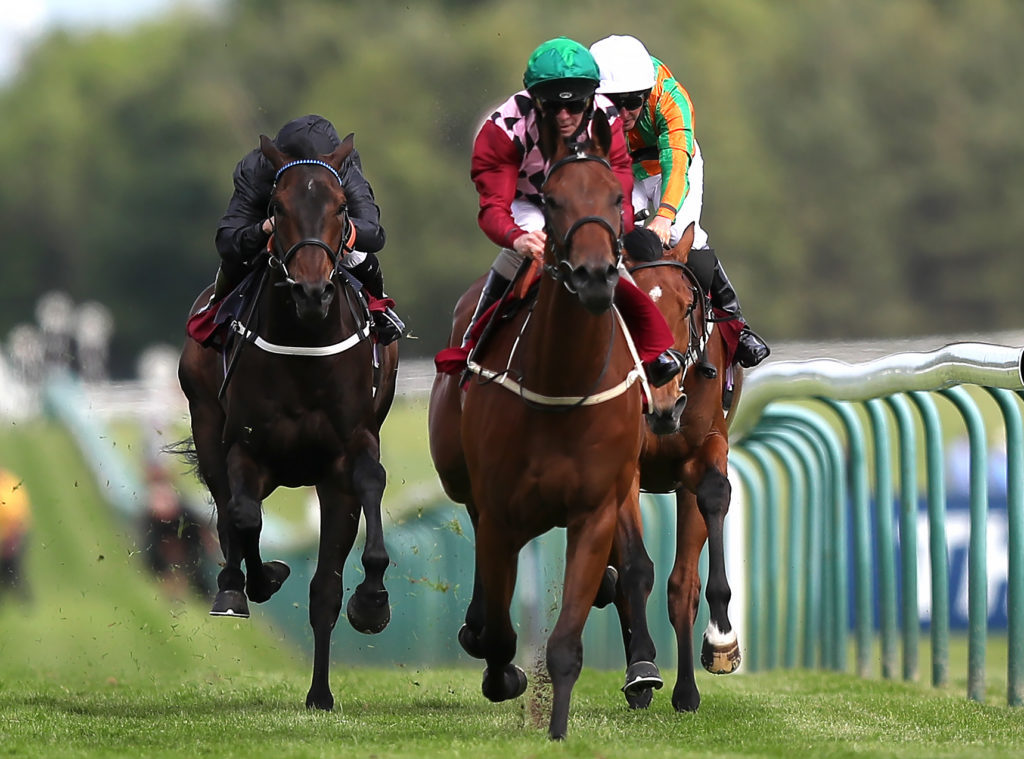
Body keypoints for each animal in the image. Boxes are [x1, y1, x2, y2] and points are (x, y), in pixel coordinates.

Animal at [177, 133, 399, 711]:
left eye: (341, 207)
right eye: (276, 208)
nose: (312, 291)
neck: (306, 344)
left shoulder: (348, 454)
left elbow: (366, 493)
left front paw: (371, 602)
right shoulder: (246, 448)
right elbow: (244, 517)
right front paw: (253, 582)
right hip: (207, 423)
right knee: (230, 512)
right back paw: (237, 584)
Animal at [428, 109, 661, 740]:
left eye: (615, 196)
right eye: (552, 201)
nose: (594, 275)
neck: (561, 384)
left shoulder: (595, 510)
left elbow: (565, 647)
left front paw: (556, 730)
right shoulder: (499, 513)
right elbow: (499, 628)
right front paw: (501, 673)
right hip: (466, 485)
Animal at [614, 231, 745, 713]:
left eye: (688, 303)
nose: (664, 367)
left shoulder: (706, 446)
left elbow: (715, 495)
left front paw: (721, 639)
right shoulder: (623, 468)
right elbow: (634, 568)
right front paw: (641, 668)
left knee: (681, 583)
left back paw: (686, 689)